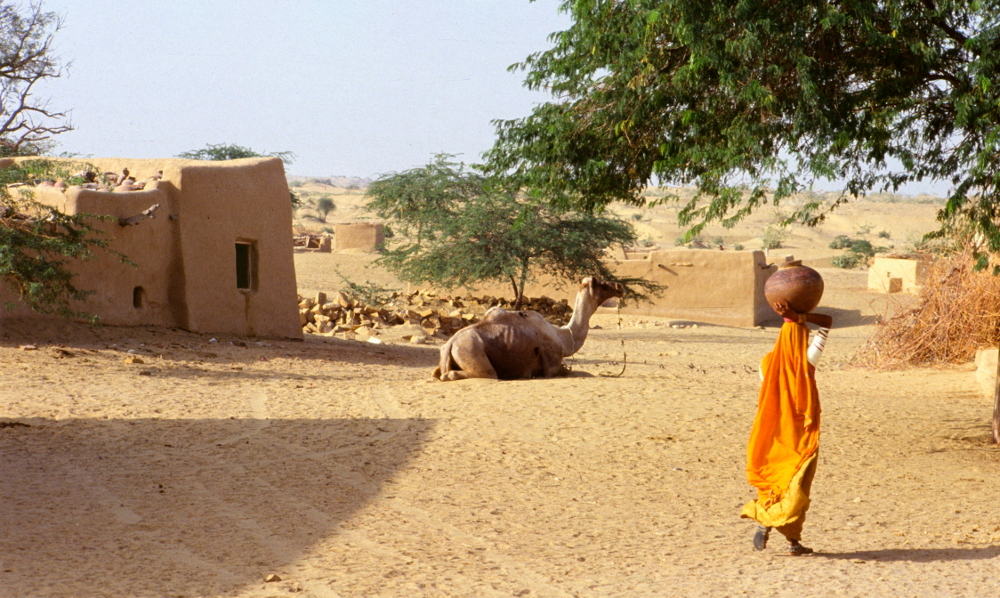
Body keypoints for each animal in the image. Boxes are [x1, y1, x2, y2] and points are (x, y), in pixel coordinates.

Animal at [432, 278, 620, 382]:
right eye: (601, 284)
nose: (619, 286)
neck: (563, 336)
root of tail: (450, 344)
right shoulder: (552, 365)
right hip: (472, 352)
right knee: (483, 374)